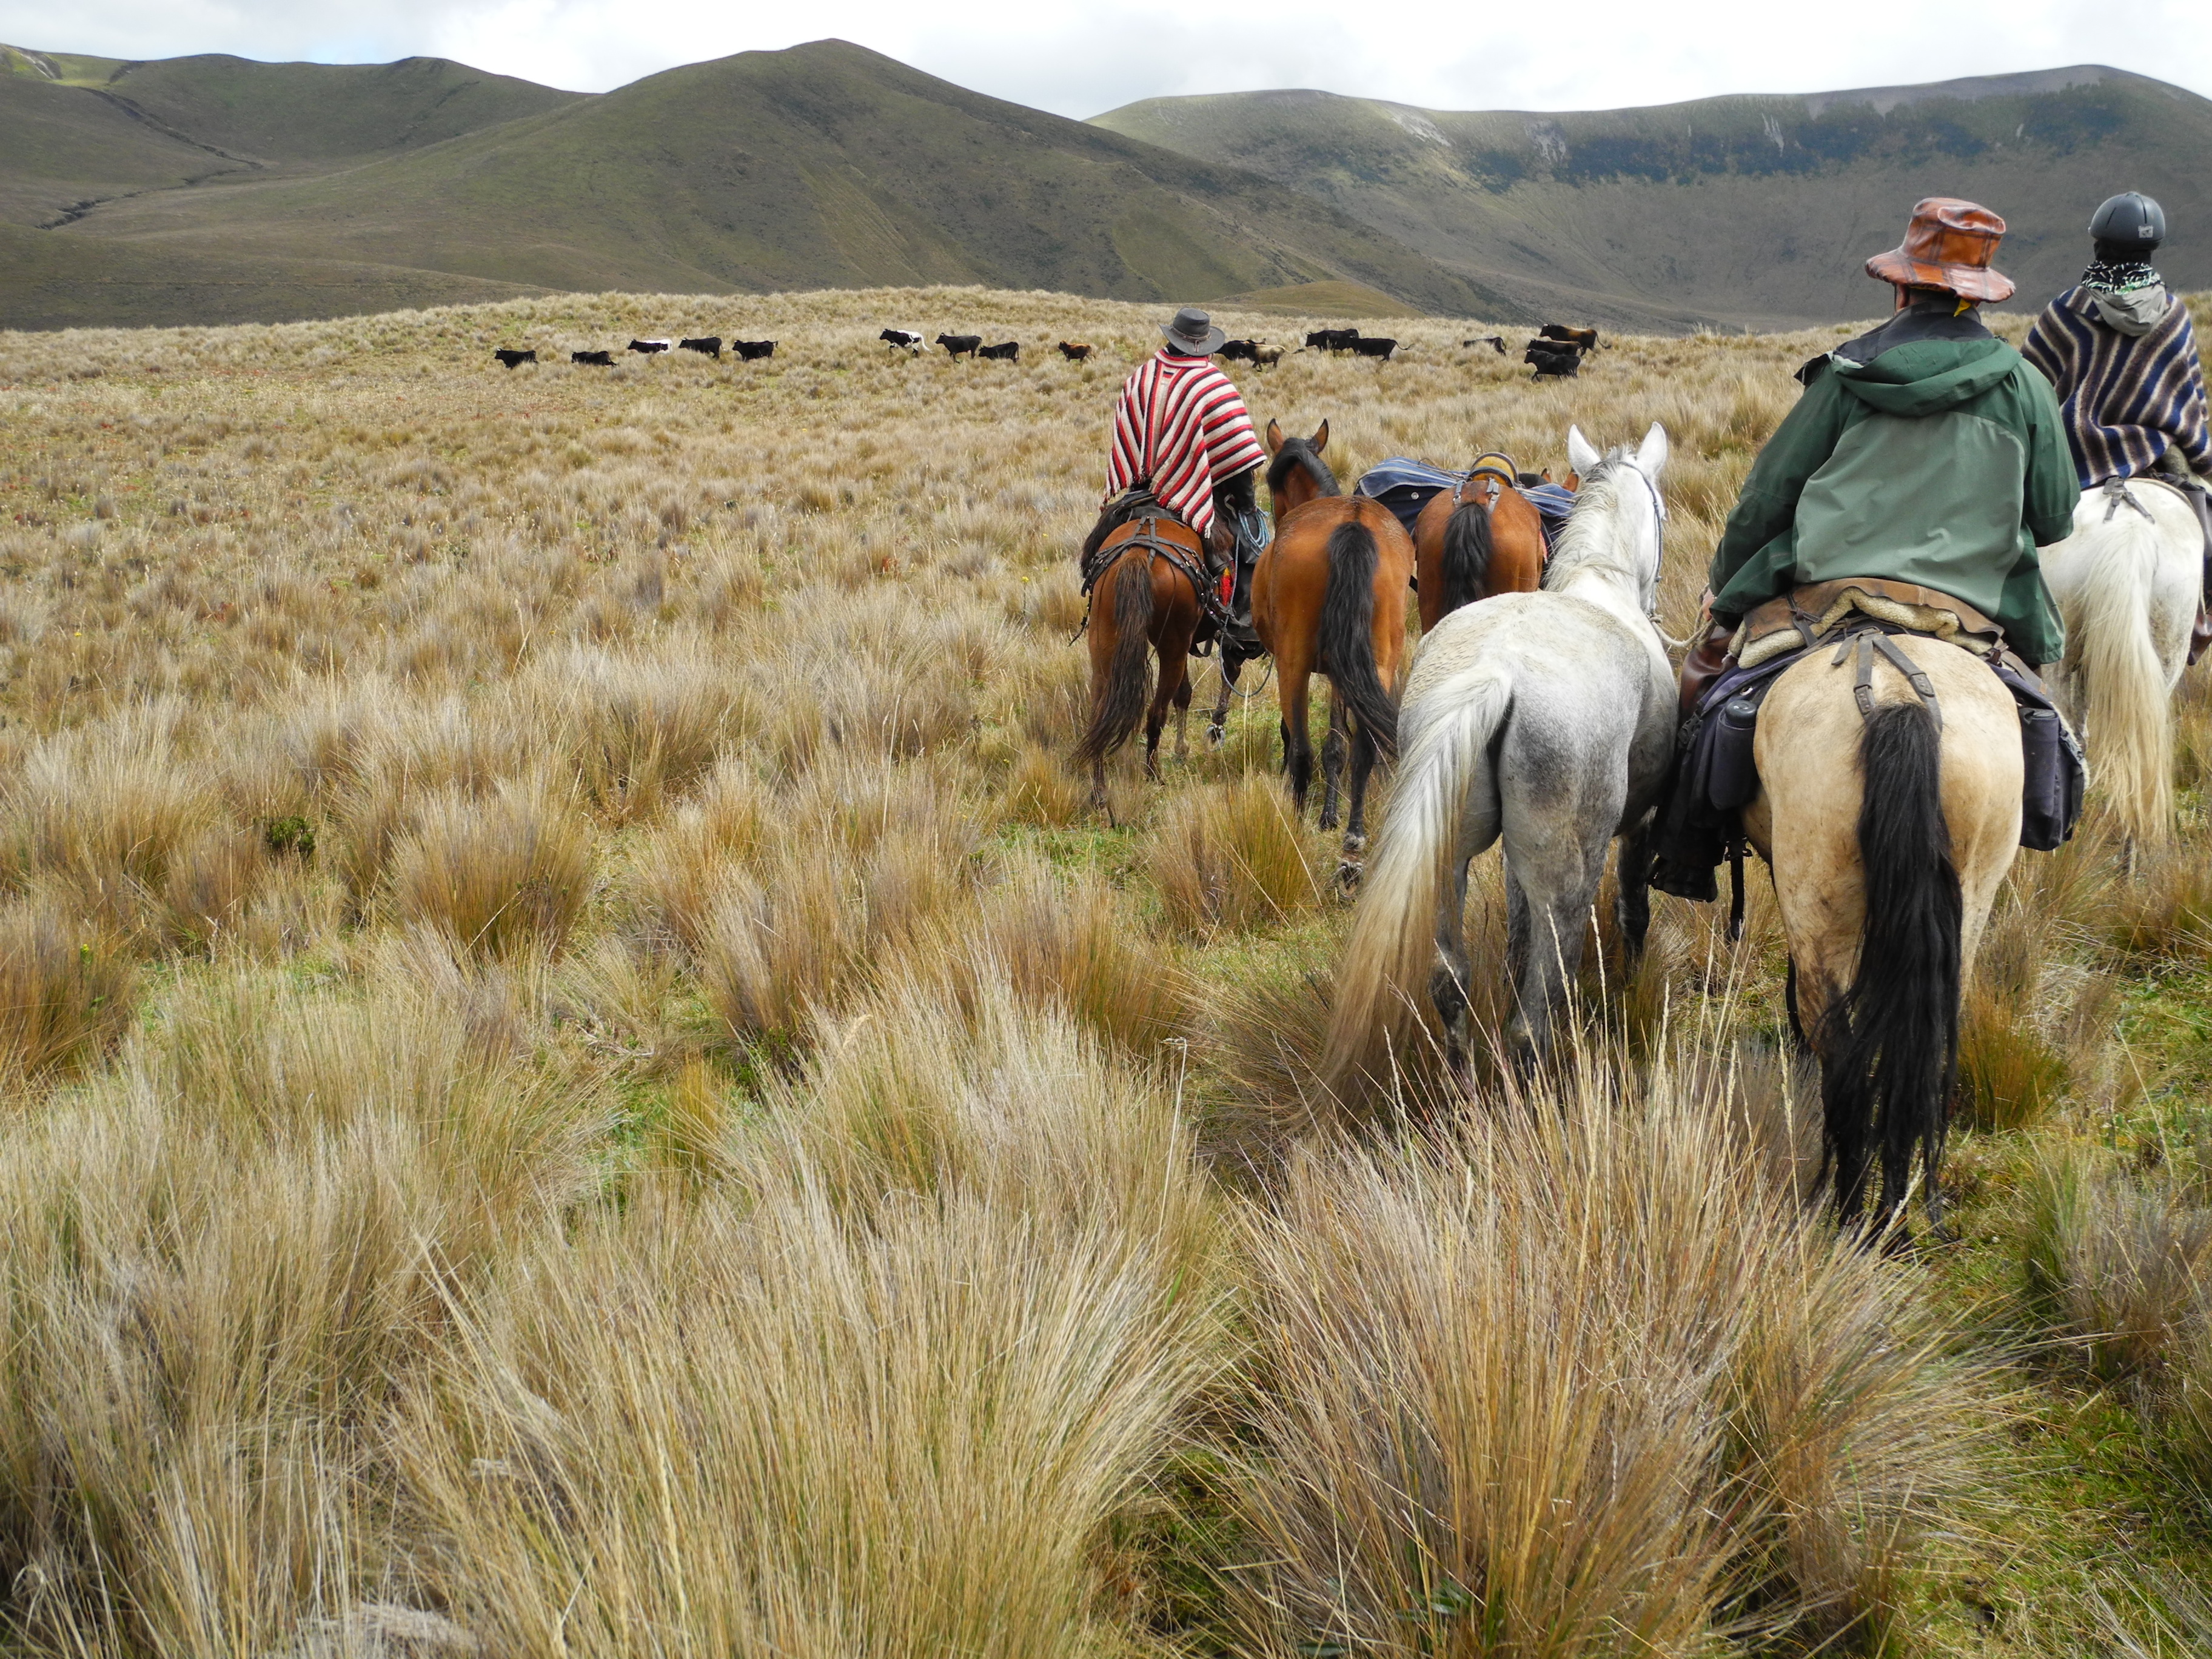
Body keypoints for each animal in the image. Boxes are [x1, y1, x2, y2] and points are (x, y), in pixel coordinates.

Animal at [1251, 420, 1414, 867]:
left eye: (1272, 486)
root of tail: (1352, 523)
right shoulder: (1346, 671)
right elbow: (1338, 745)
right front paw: (1330, 815)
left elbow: (1300, 739)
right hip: (1378, 663)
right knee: (1365, 751)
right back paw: (1354, 838)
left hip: (1293, 663)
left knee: (1302, 750)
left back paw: (1293, 827)